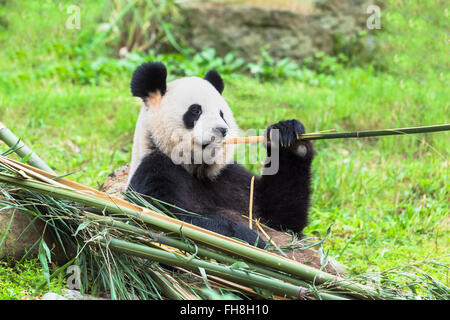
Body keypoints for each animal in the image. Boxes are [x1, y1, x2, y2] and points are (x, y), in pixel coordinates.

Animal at [127, 61, 312, 249]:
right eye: (195, 111)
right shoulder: (155, 168)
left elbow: (280, 219)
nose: (222, 130)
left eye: (222, 114)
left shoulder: (230, 177)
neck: (195, 170)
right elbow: (165, 215)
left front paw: (289, 137)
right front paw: (248, 237)